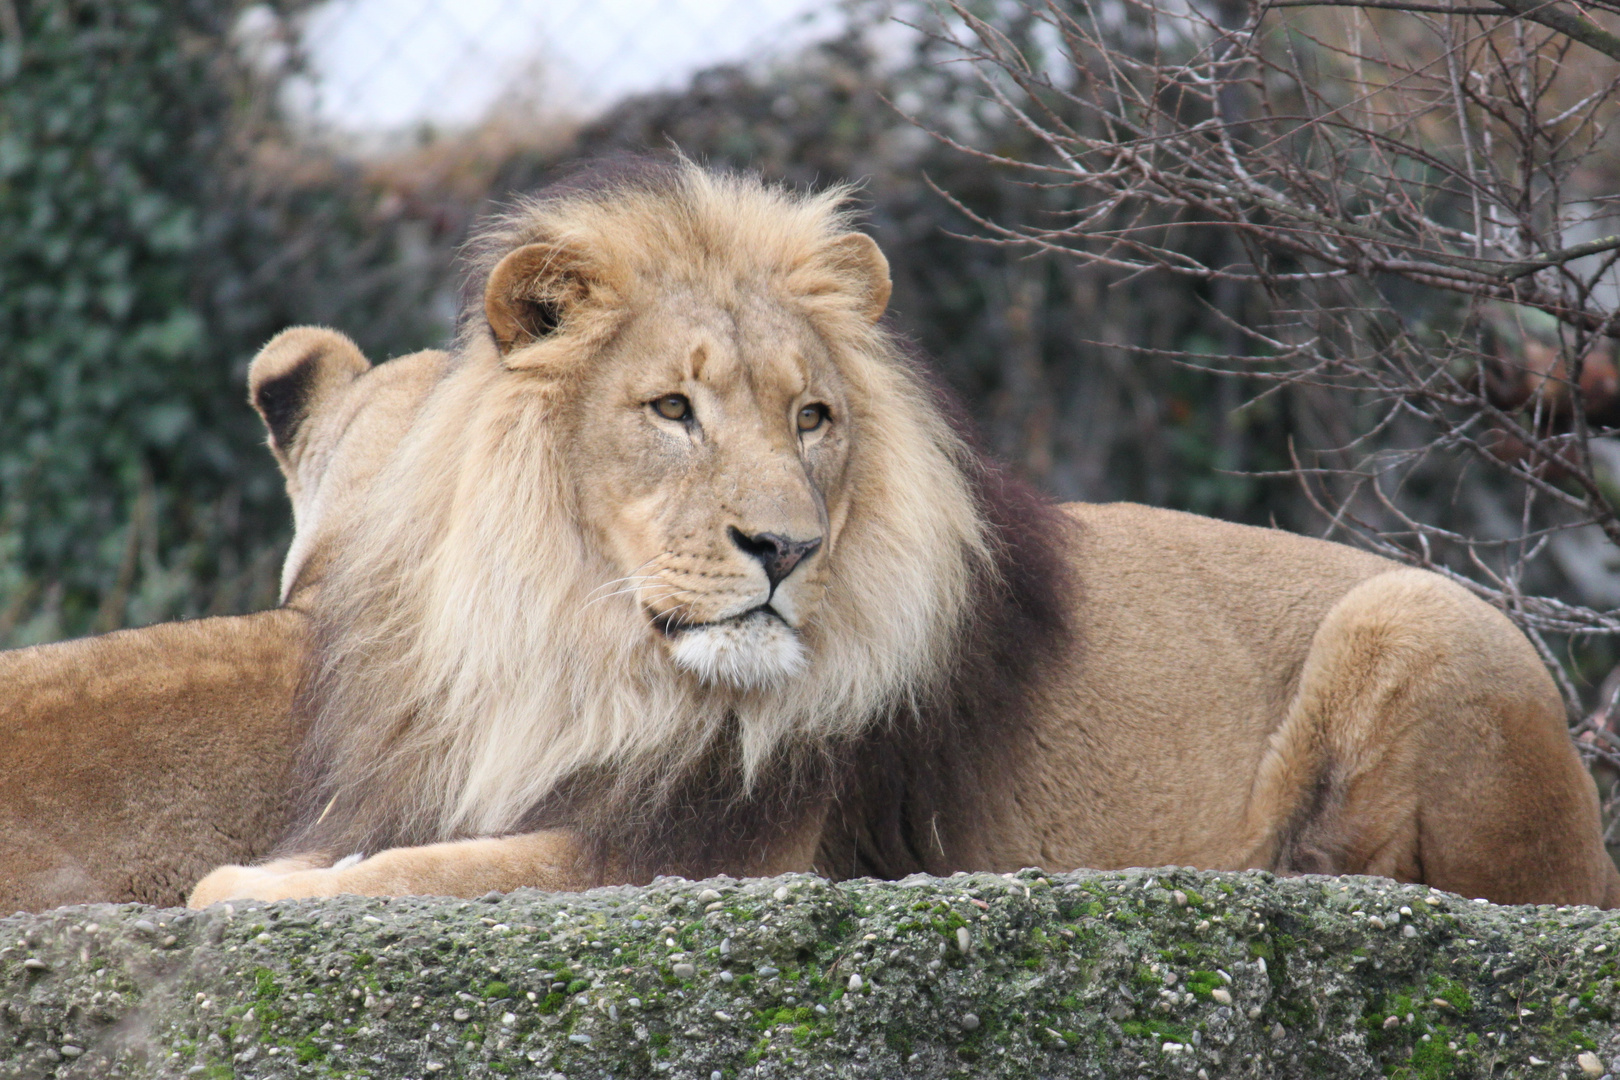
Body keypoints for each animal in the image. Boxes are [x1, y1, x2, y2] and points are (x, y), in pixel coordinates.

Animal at [192, 160, 1620, 913]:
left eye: (813, 417)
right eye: (673, 410)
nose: (786, 549)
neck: (568, 647)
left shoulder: (711, 855)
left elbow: (403, 876)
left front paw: (248, 891)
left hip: (1421, 615)